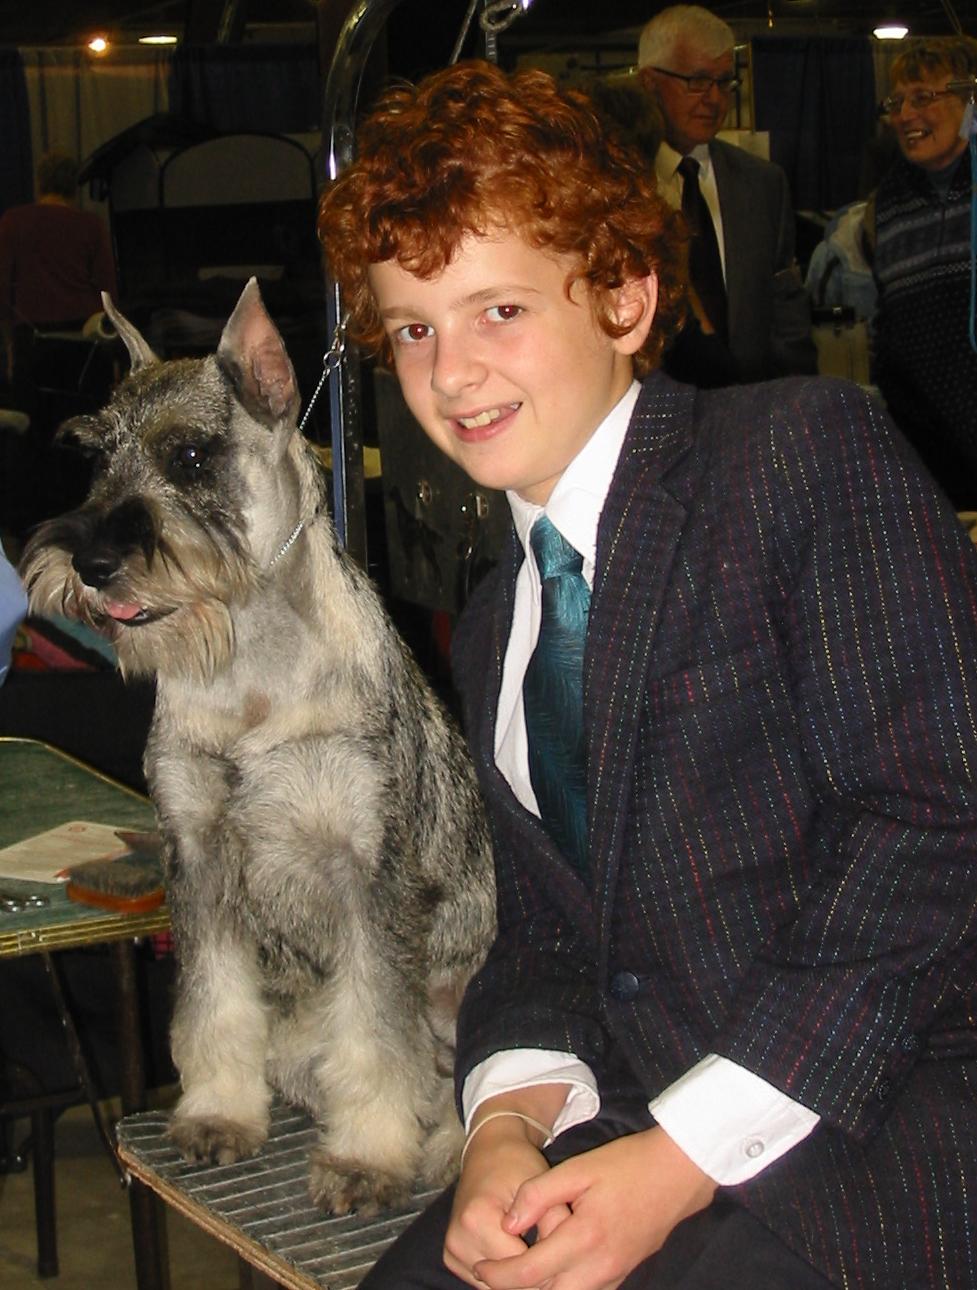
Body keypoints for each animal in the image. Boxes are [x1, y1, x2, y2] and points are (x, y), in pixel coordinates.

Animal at [20, 277, 495, 1212]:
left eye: (190, 457)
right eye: (97, 458)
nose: (89, 564)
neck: (249, 673)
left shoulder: (367, 871)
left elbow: (376, 1033)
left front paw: (366, 1157)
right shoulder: (198, 852)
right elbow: (213, 1002)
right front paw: (219, 1112)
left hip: (462, 986)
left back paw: (439, 1154)